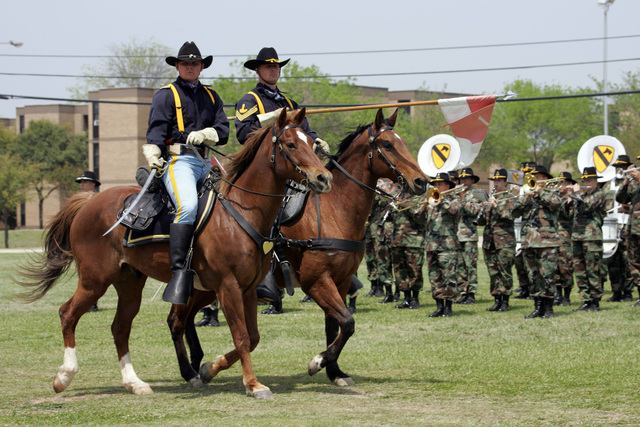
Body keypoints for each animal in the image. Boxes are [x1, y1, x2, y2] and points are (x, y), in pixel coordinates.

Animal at [17, 108, 332, 400]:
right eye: (290, 144)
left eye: (312, 142)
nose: (323, 177)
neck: (240, 209)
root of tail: (89, 202)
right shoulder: (228, 286)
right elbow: (242, 337)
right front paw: (253, 384)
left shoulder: (248, 288)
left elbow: (252, 337)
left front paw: (209, 368)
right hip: (95, 280)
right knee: (68, 313)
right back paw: (64, 376)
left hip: (129, 283)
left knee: (120, 327)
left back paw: (135, 383)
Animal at [168, 108, 428, 390]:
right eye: (388, 145)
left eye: (402, 142)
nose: (422, 181)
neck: (335, 209)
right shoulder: (316, 281)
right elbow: (347, 323)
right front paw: (317, 362)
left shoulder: (341, 281)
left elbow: (335, 327)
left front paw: (334, 370)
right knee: (178, 320)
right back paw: (193, 369)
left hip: (204, 287)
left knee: (184, 319)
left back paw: (197, 366)